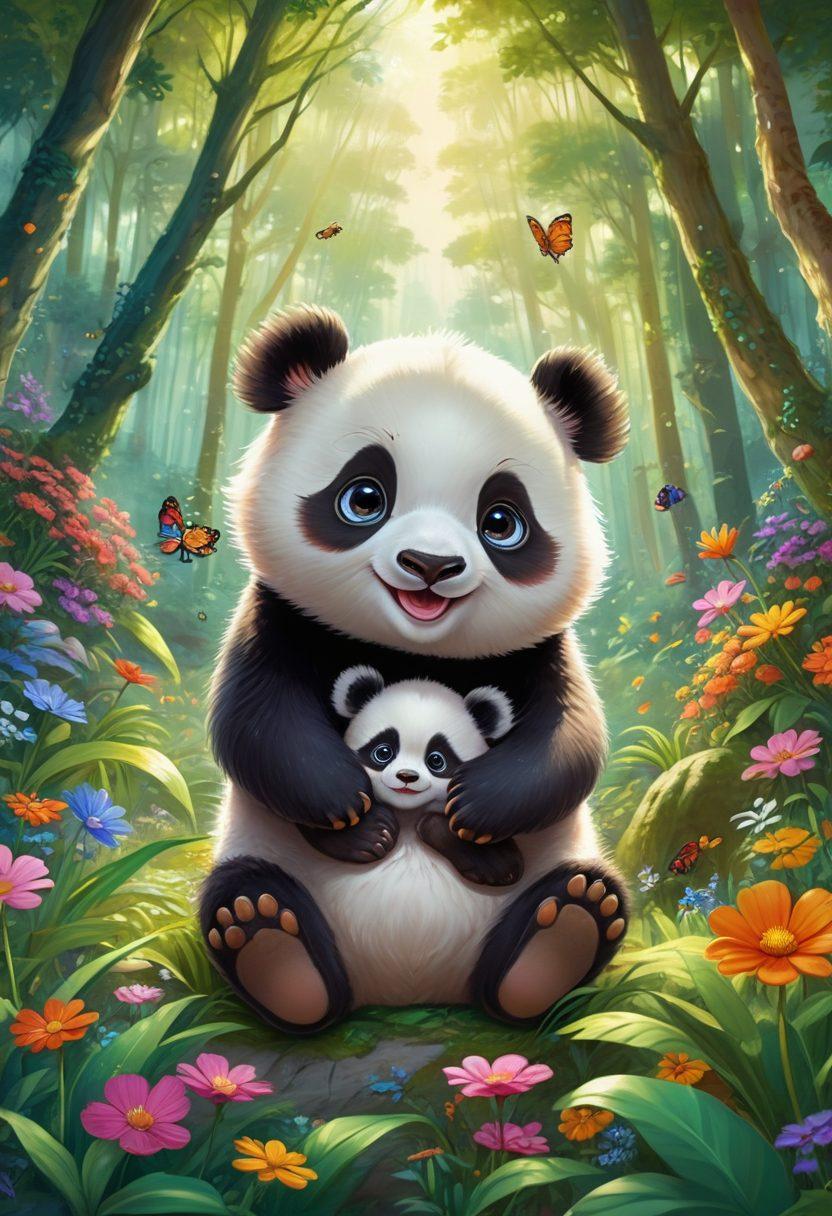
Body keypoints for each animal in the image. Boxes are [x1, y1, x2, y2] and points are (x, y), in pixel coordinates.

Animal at [332, 666, 521, 880]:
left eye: (436, 760)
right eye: (383, 752)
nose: (406, 776)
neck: (407, 814)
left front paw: (495, 859)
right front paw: (372, 833)